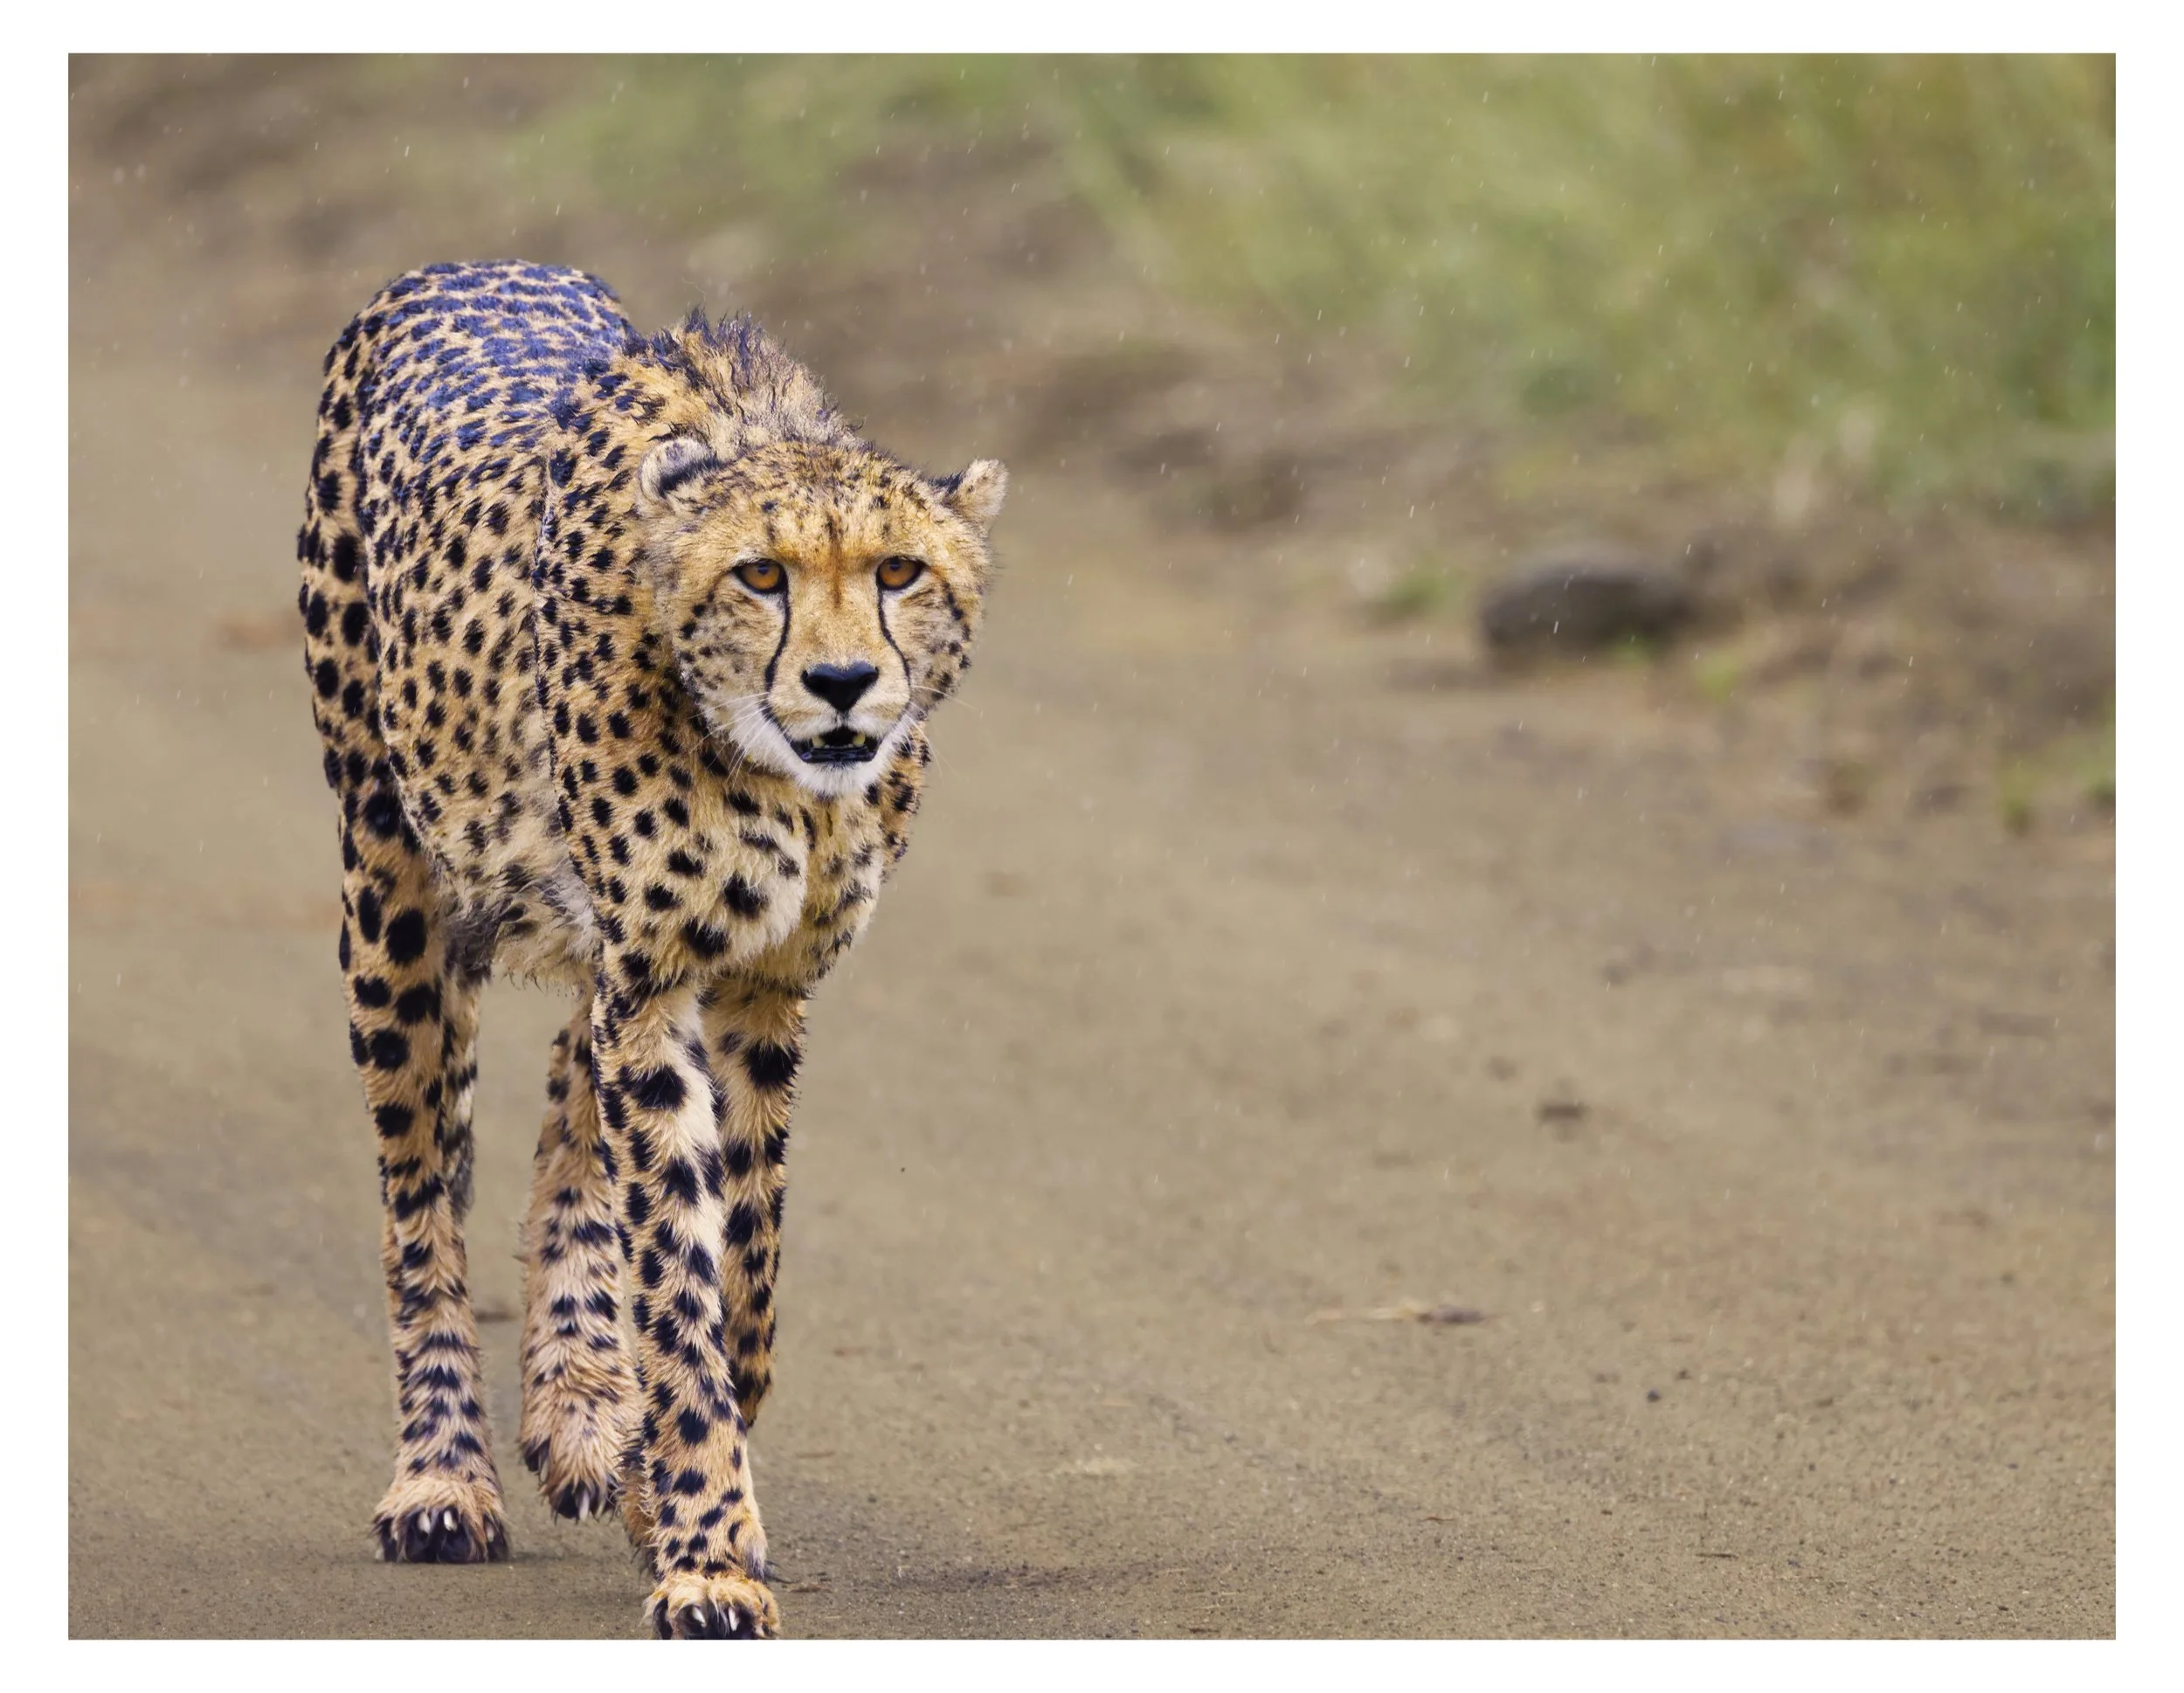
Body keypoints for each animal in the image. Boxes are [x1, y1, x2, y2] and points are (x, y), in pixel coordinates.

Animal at [294, 260, 1006, 1638]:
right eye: (761, 576)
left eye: (899, 571)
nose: (844, 683)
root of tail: (466, 264)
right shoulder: (659, 965)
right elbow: (678, 1270)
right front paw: (709, 1550)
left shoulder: (757, 985)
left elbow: (747, 1273)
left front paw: (654, 1478)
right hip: (389, 878)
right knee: (421, 1201)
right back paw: (443, 1477)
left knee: (566, 1101)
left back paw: (579, 1404)